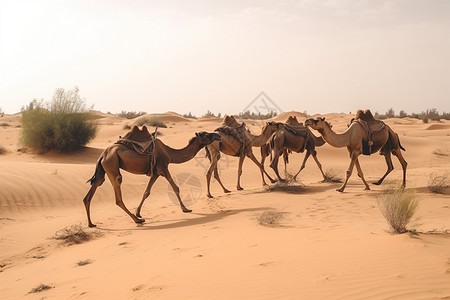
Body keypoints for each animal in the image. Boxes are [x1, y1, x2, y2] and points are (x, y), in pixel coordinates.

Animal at [83, 125, 221, 226]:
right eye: (206, 134)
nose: (218, 135)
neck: (169, 152)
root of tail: (102, 155)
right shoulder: (164, 167)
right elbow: (175, 187)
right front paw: (185, 209)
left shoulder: (156, 173)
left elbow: (146, 192)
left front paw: (138, 212)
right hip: (112, 164)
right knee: (118, 193)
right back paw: (137, 220)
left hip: (102, 170)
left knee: (90, 193)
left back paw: (91, 224)